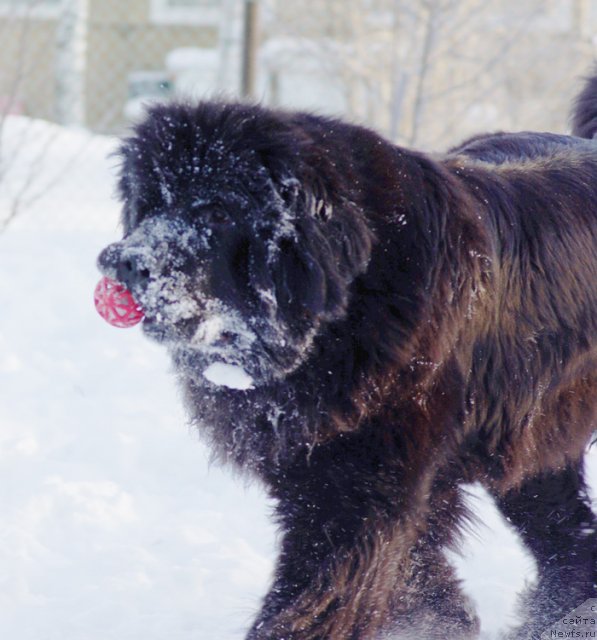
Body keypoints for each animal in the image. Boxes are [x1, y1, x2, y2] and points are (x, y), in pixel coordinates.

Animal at [98, 72, 596, 636]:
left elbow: (320, 589)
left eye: (219, 211)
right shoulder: (328, 469)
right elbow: (412, 561)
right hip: (535, 446)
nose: (121, 261)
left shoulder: (359, 489)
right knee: (568, 536)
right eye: (150, 203)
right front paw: (447, 614)